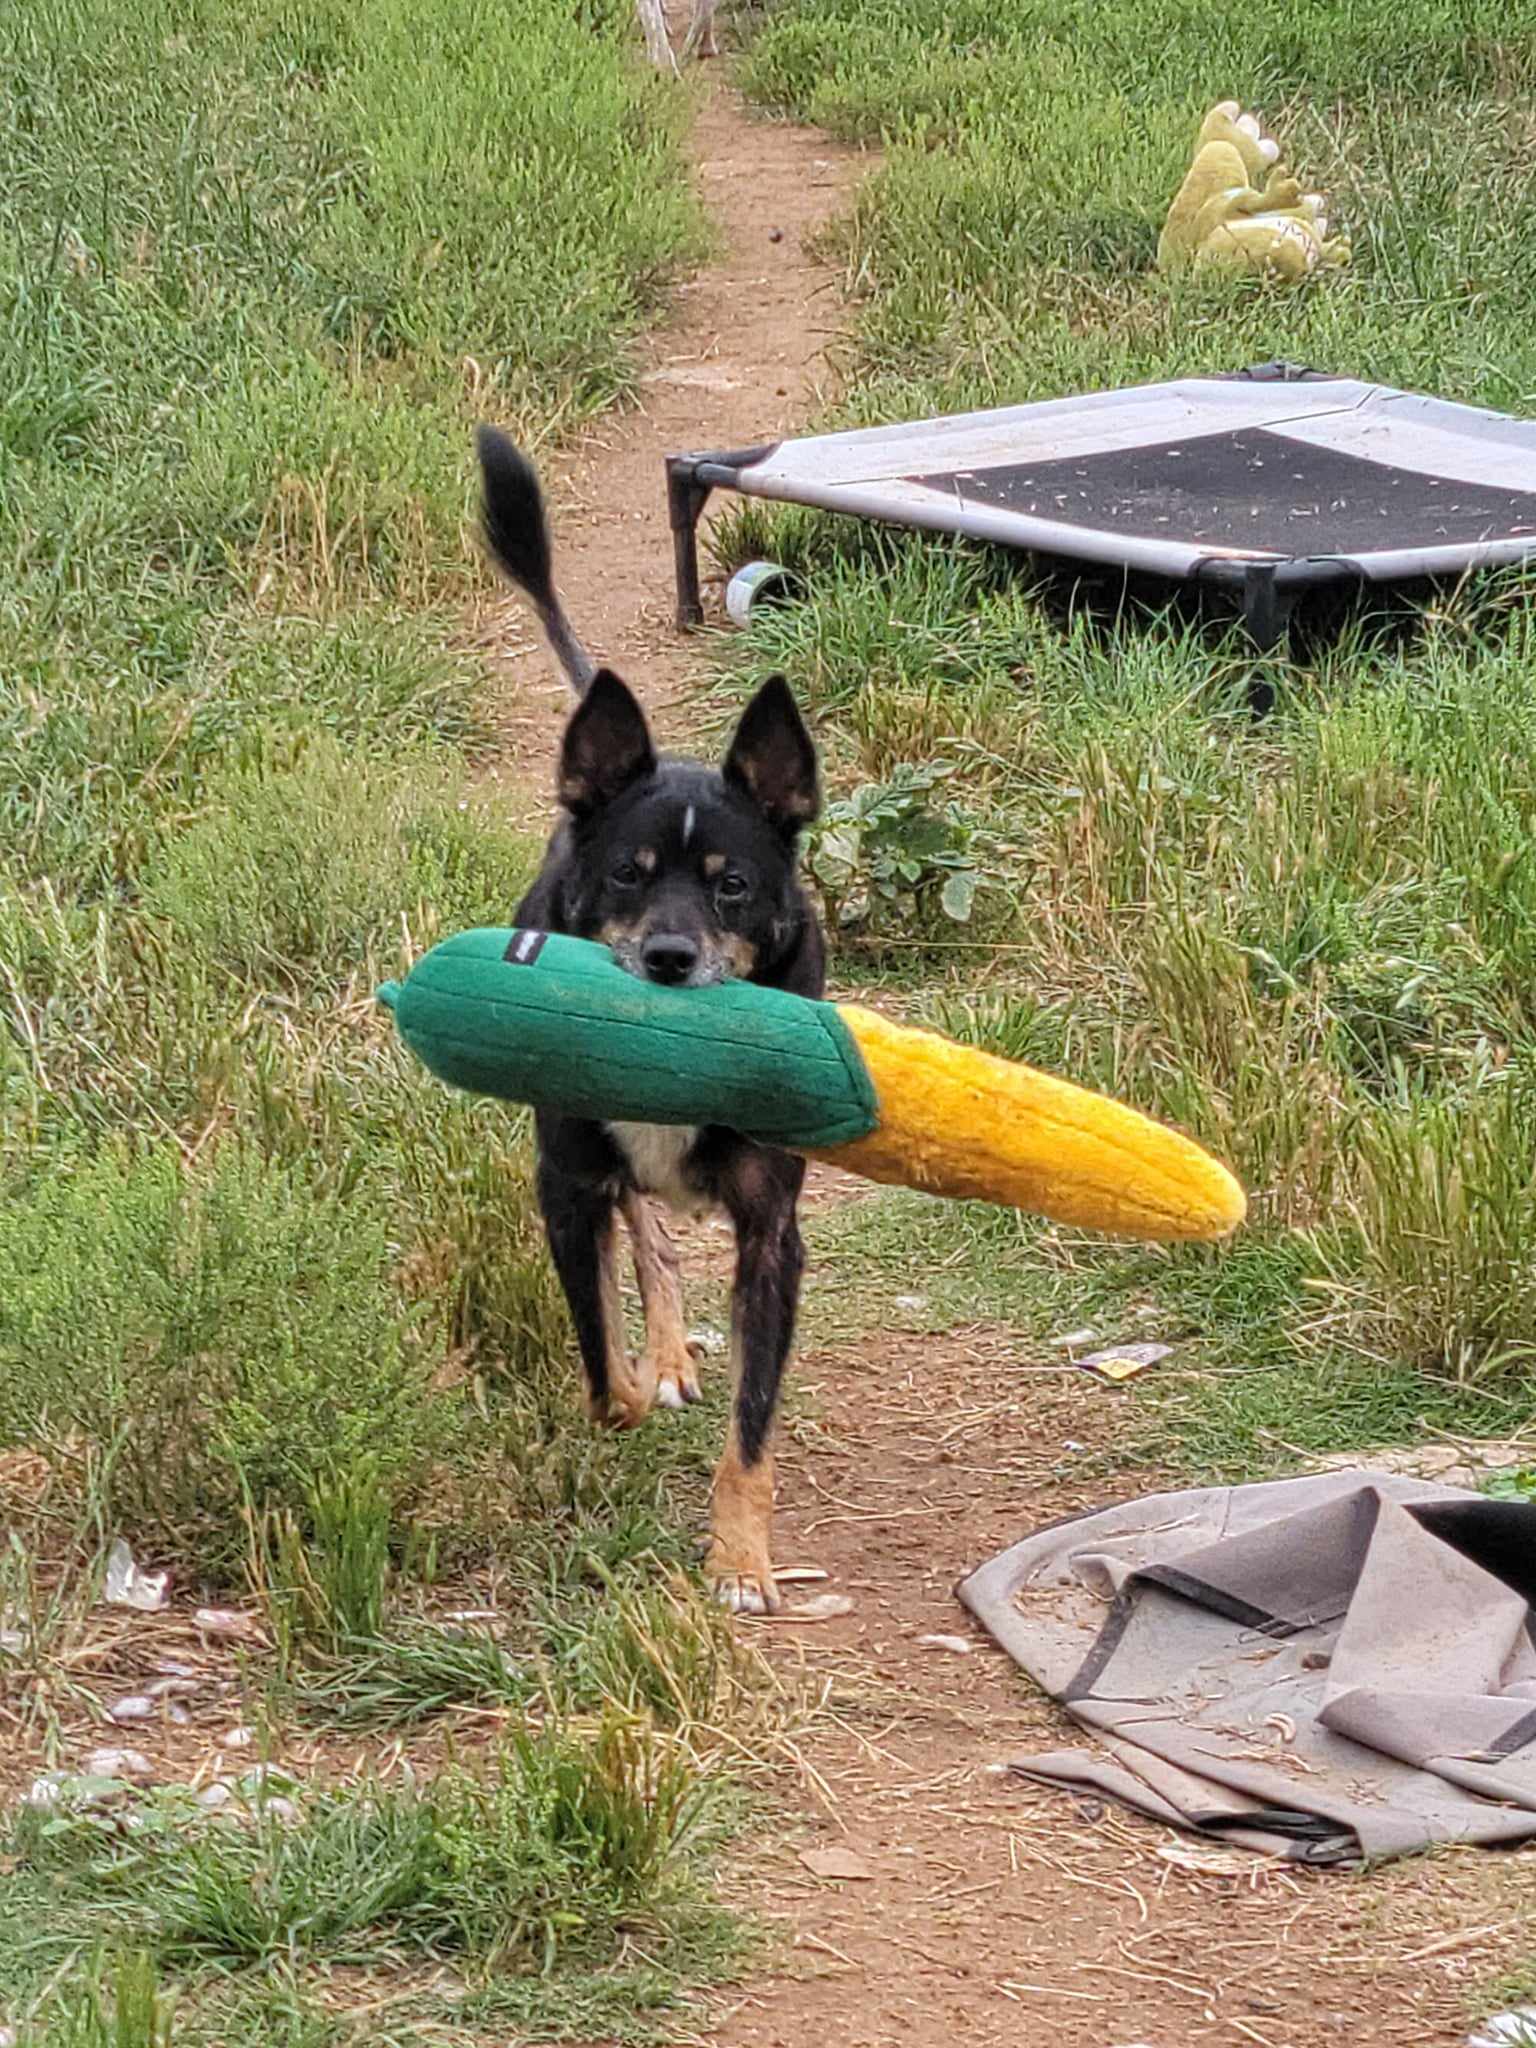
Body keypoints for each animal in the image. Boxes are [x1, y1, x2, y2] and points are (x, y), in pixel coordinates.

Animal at [479, 432, 831, 1613]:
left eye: (734, 886)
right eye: (628, 874)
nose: (670, 960)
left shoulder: (774, 1234)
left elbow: (752, 1430)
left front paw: (742, 1561)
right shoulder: (564, 1181)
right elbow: (599, 1364)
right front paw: (634, 1384)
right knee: (648, 1228)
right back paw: (664, 1350)